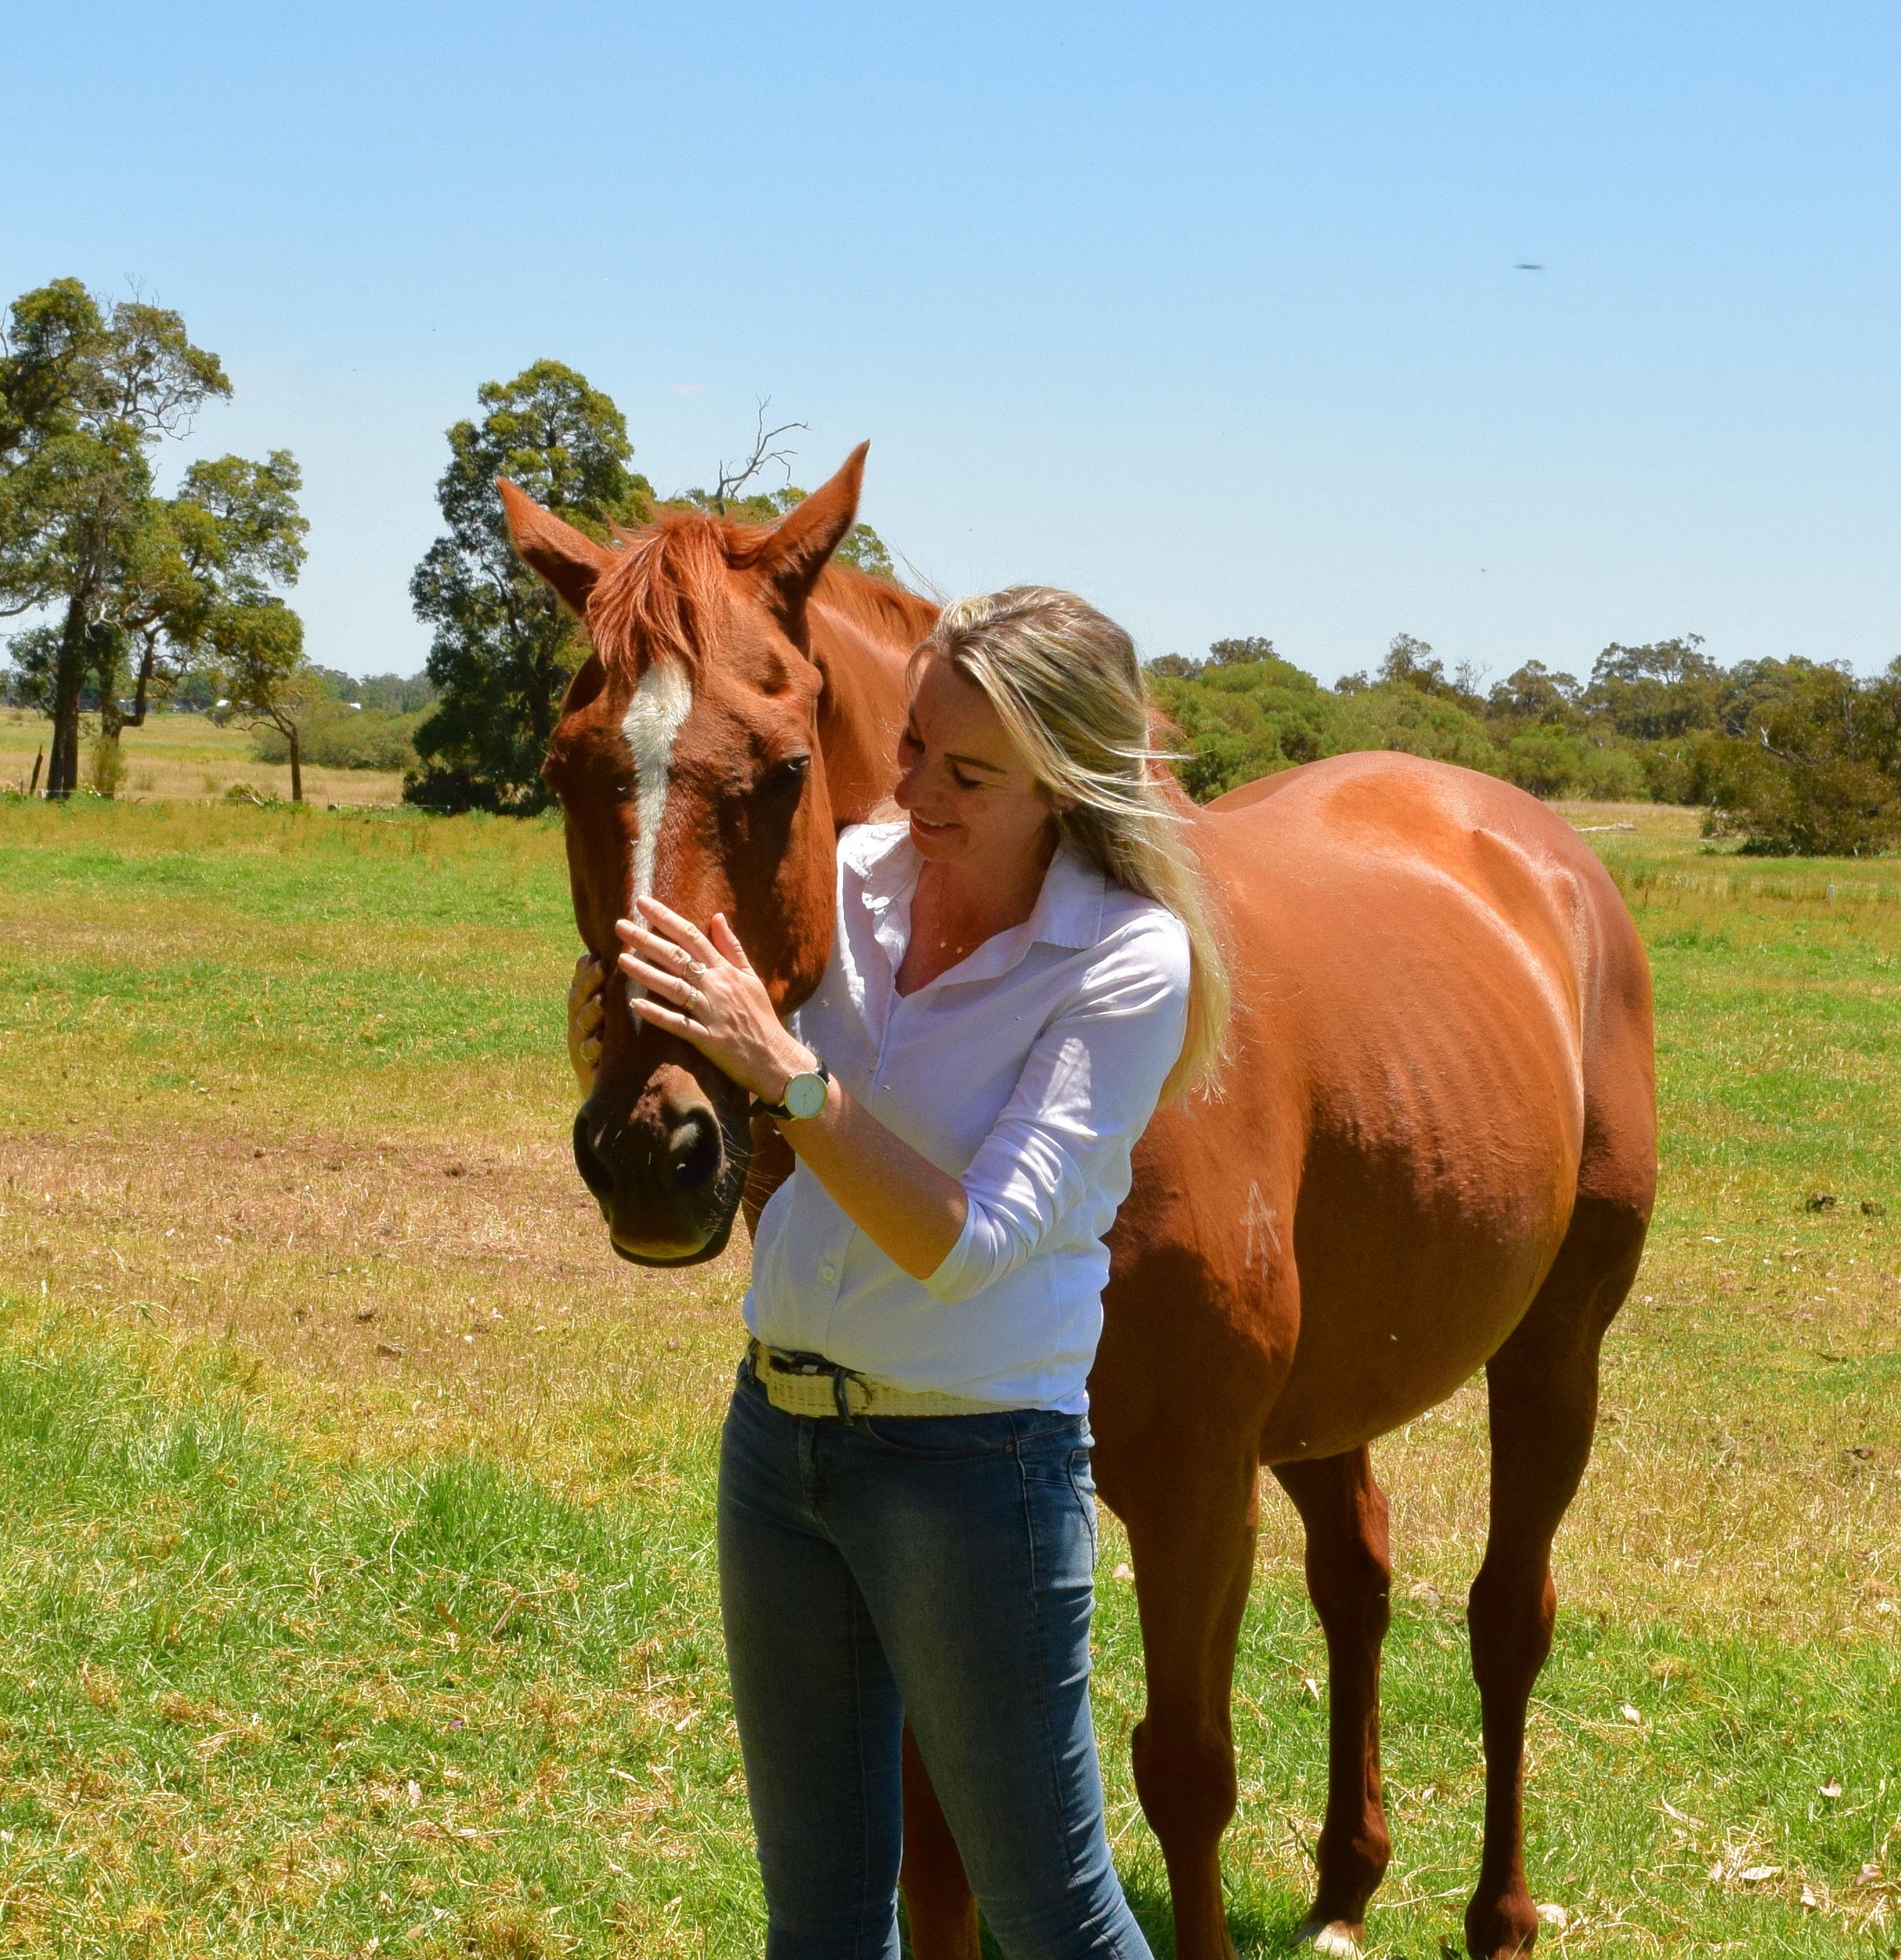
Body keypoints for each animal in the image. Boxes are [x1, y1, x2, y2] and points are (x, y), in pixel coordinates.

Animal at [500, 448, 1657, 1960]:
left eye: (785, 767)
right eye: (565, 769)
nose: (655, 1144)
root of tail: (1534, 847)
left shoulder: (1189, 1487)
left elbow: (1186, 1772)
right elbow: (935, 1840)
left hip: (1550, 1358)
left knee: (1507, 1616)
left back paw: (1499, 1913)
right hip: (1331, 1390)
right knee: (1358, 1580)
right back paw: (1346, 1878)